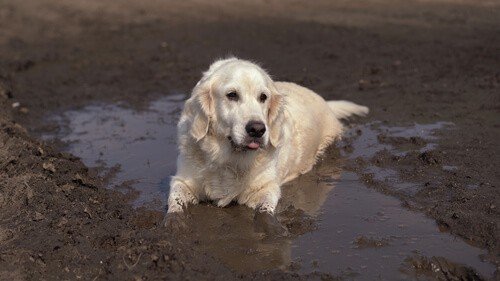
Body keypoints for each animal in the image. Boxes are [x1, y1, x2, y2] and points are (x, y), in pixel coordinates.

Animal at [167, 57, 368, 232]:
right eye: (232, 95)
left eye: (263, 97)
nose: (257, 129)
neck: (230, 159)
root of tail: (325, 101)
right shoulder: (183, 180)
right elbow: (175, 201)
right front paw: (174, 223)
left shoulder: (267, 187)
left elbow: (265, 210)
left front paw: (273, 229)